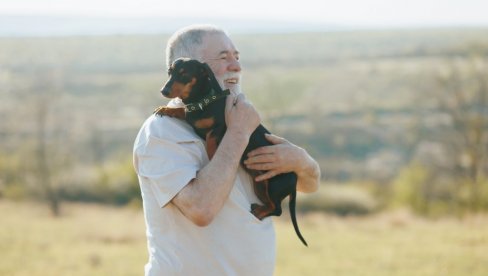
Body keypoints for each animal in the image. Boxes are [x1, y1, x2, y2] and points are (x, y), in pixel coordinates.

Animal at [154, 57, 306, 246]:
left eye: (184, 73)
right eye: (170, 72)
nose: (164, 90)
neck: (203, 101)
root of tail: (295, 180)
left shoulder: (218, 129)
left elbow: (211, 143)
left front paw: (212, 156)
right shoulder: (191, 113)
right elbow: (182, 111)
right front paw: (166, 109)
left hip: (273, 186)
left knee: (277, 210)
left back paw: (259, 212)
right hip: (260, 185)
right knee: (273, 207)